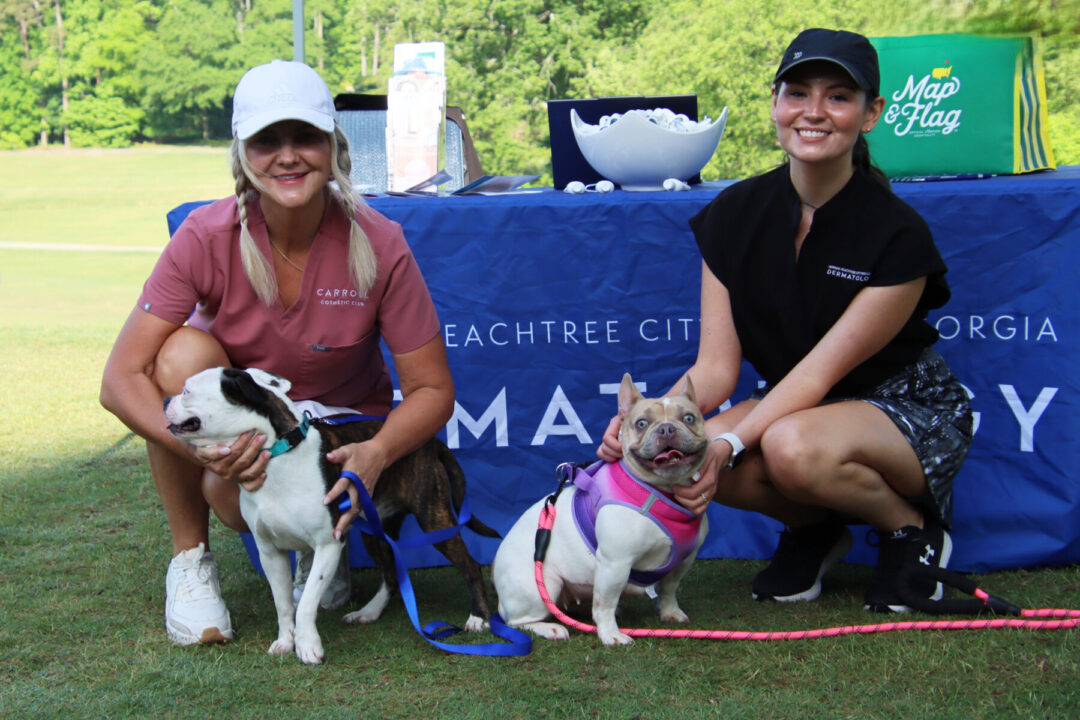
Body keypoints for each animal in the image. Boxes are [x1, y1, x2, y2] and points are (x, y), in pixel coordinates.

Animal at [164, 367, 499, 664]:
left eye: (187, 390)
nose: (165, 399)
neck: (278, 453)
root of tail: (431, 442)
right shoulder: (270, 551)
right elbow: (283, 604)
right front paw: (285, 641)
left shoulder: (328, 545)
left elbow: (307, 602)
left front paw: (307, 645)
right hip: (375, 531)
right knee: (390, 576)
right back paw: (369, 611)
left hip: (435, 520)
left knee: (470, 565)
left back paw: (478, 617)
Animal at [491, 373, 710, 646]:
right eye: (641, 423)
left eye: (689, 418)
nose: (667, 428)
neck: (661, 491)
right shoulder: (615, 563)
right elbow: (604, 603)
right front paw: (610, 634)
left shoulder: (683, 560)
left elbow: (669, 588)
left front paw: (670, 612)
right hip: (542, 584)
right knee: (516, 621)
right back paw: (549, 628)